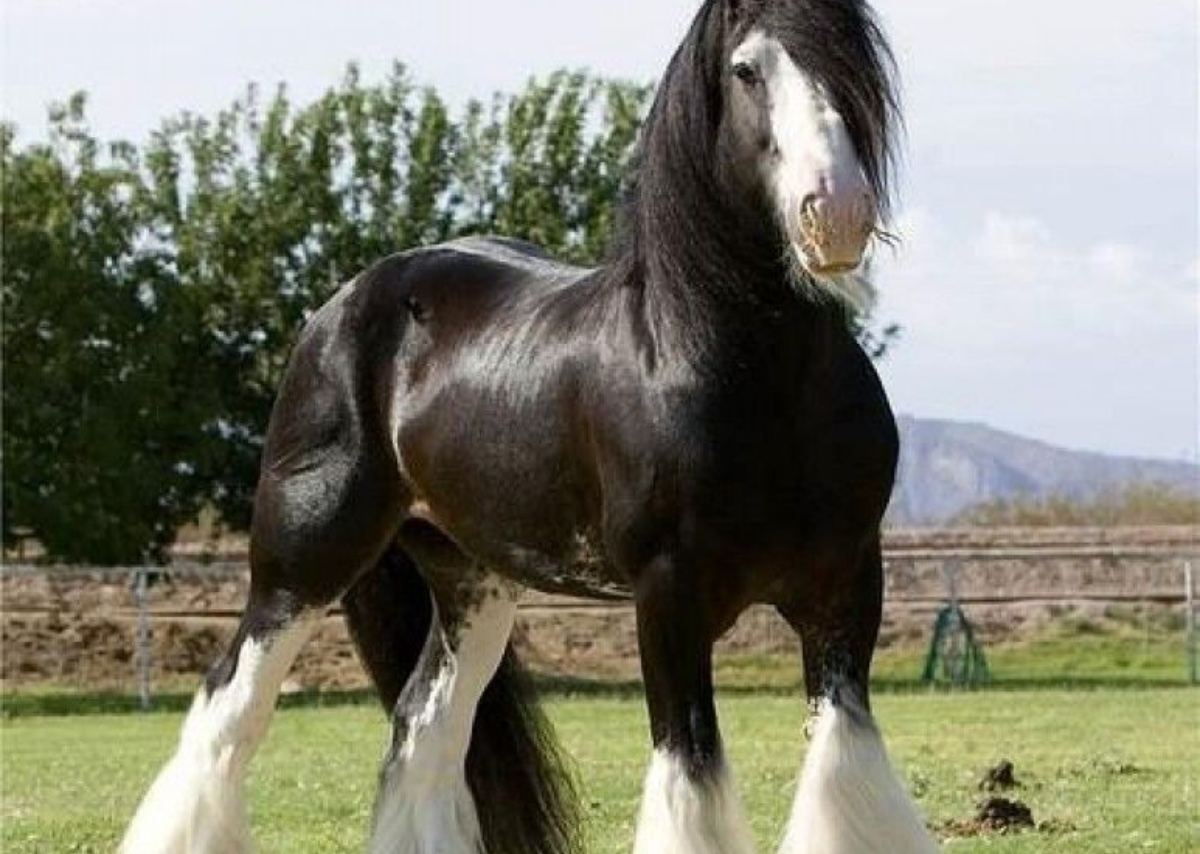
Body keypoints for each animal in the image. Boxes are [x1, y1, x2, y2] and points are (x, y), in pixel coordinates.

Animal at [120, 0, 940, 852]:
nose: (835, 214)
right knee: (226, 716)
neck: (743, 372)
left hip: (471, 583)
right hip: (301, 561)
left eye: (853, 64)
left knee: (424, 731)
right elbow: (689, 771)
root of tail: (338, 308)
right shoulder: (668, 596)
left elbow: (844, 767)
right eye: (748, 69)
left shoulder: (845, 588)